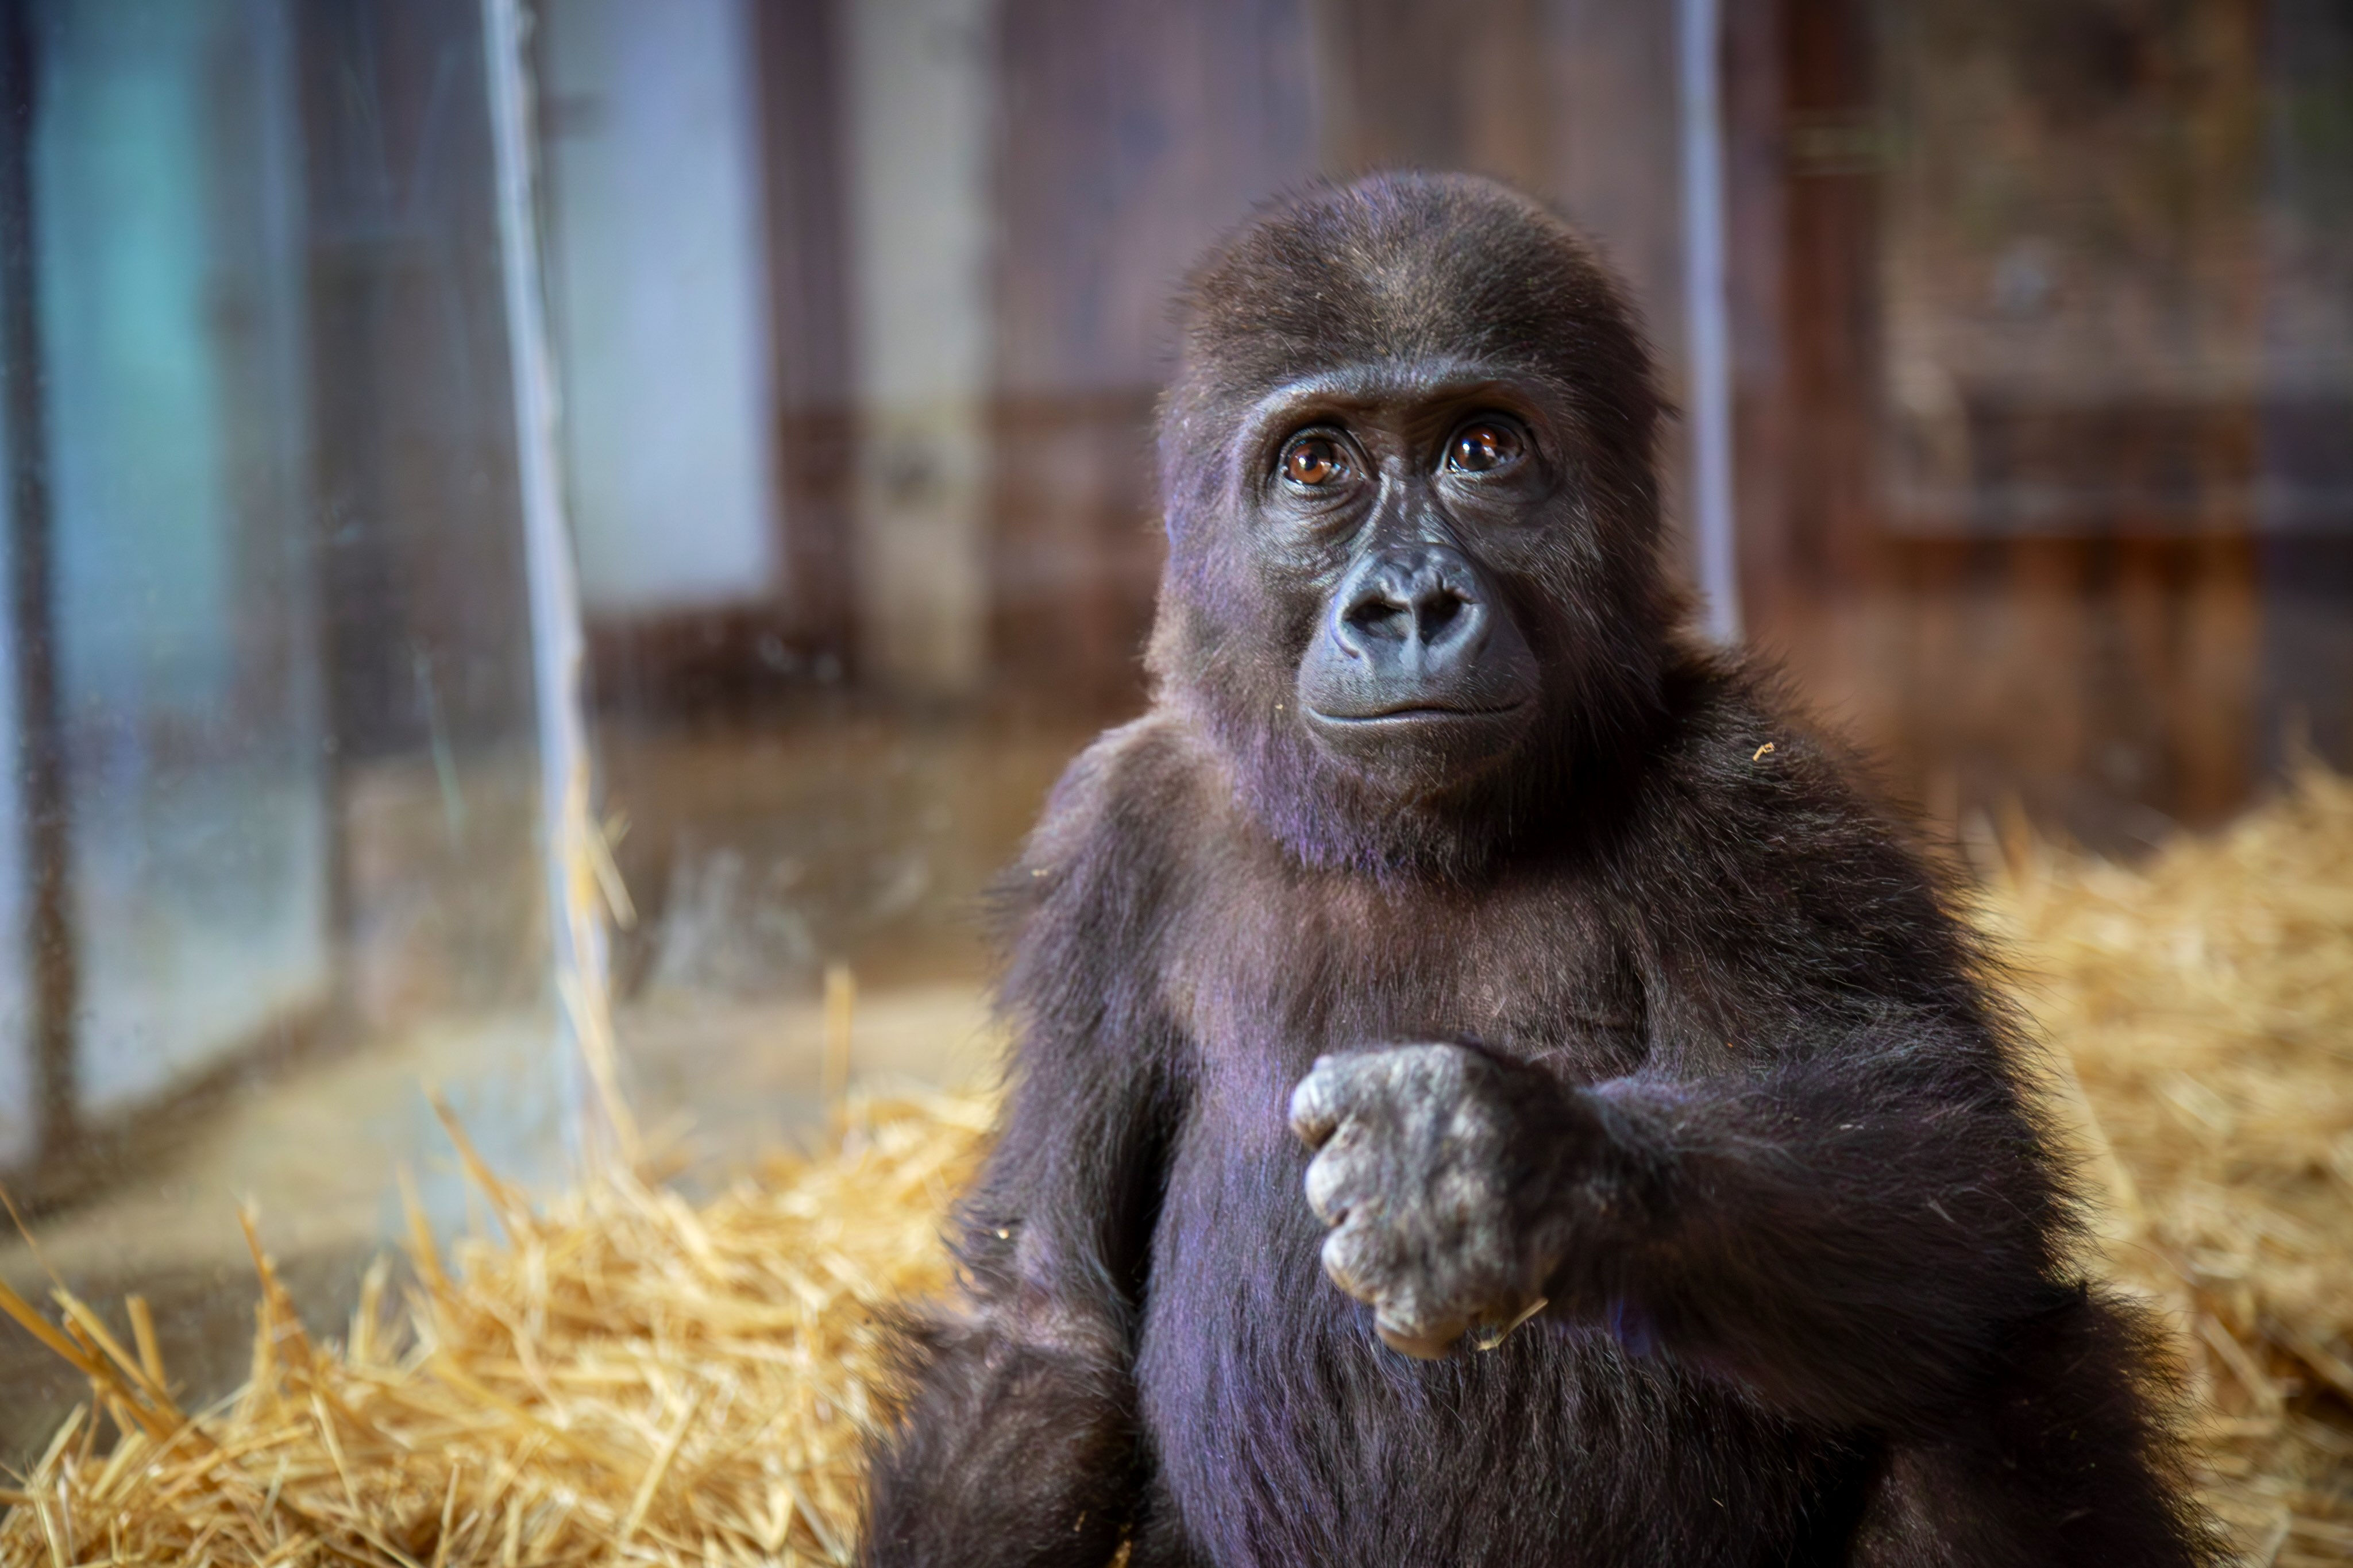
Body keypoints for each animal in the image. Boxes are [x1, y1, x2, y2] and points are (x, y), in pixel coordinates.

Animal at [861, 171, 2202, 1568]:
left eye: (1483, 451)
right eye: (1316, 463)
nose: (1407, 606)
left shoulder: (1755, 792)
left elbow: (1953, 1175)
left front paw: (1502, 1167)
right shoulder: (1106, 847)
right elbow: (1043, 1329)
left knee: (1982, 1362)